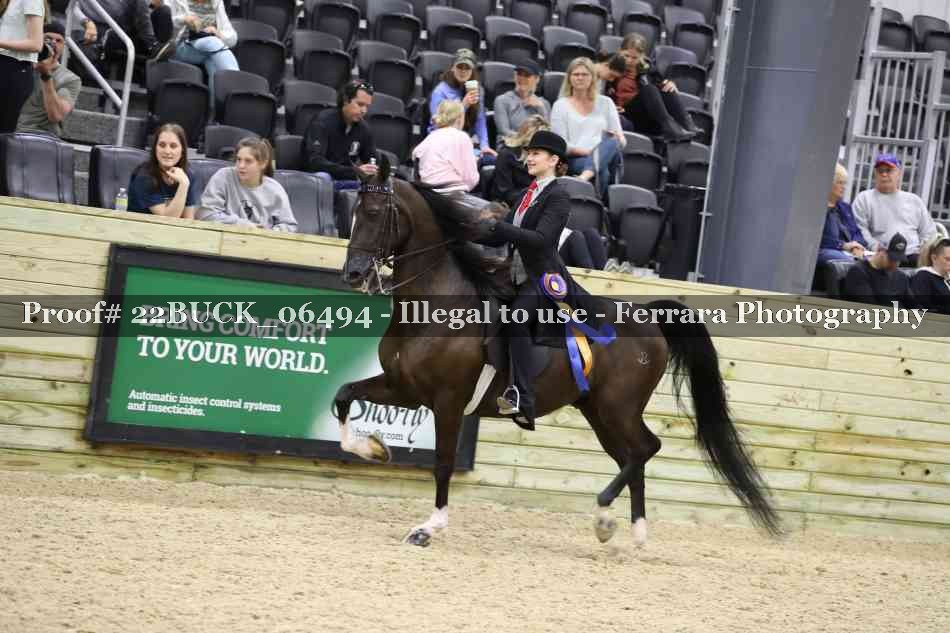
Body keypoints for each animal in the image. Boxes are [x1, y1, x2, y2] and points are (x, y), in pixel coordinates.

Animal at [332, 159, 781, 548]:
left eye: (375, 212)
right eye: (353, 212)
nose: (352, 274)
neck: (436, 306)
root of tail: (649, 318)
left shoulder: (447, 401)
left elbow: (442, 462)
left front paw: (429, 528)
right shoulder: (403, 388)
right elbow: (344, 396)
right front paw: (374, 449)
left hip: (618, 407)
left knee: (645, 449)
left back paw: (604, 515)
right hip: (600, 411)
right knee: (632, 456)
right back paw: (631, 534)